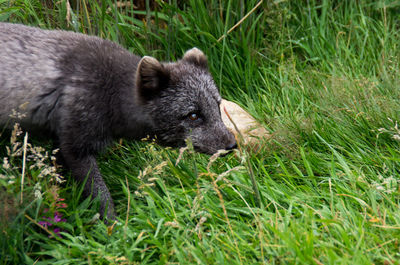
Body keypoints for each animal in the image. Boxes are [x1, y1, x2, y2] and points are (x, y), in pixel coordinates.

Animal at [0, 22, 236, 220]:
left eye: (217, 105)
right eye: (193, 115)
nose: (232, 145)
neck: (110, 90)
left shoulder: (60, 145)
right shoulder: (75, 146)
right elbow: (101, 195)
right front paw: (113, 228)